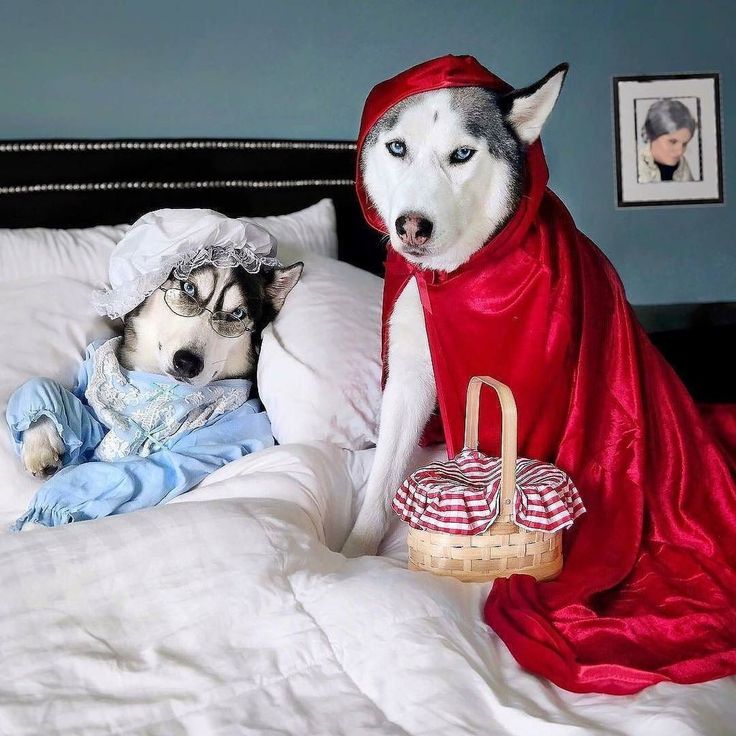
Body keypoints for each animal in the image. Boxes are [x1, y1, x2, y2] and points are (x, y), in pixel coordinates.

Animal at [344, 56, 736, 696]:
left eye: (462, 154)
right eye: (398, 147)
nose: (412, 227)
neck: (468, 281)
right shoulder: (408, 378)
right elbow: (379, 482)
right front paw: (349, 555)